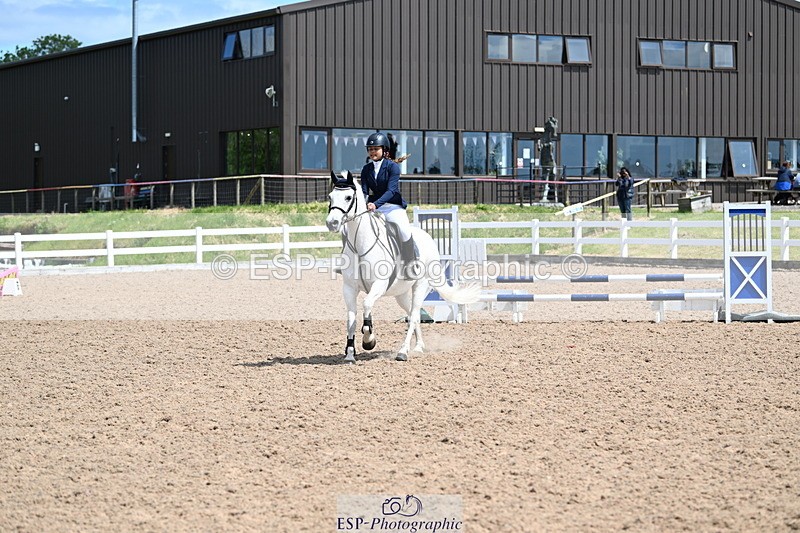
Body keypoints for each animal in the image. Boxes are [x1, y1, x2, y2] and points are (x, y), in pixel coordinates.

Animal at [325, 170, 480, 363]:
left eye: (348, 197)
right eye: (330, 197)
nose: (332, 223)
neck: (360, 246)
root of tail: (428, 239)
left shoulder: (379, 285)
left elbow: (367, 305)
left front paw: (369, 340)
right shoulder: (349, 288)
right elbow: (351, 320)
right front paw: (350, 354)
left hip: (420, 286)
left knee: (413, 315)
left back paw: (403, 351)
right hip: (401, 293)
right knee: (414, 314)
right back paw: (419, 347)